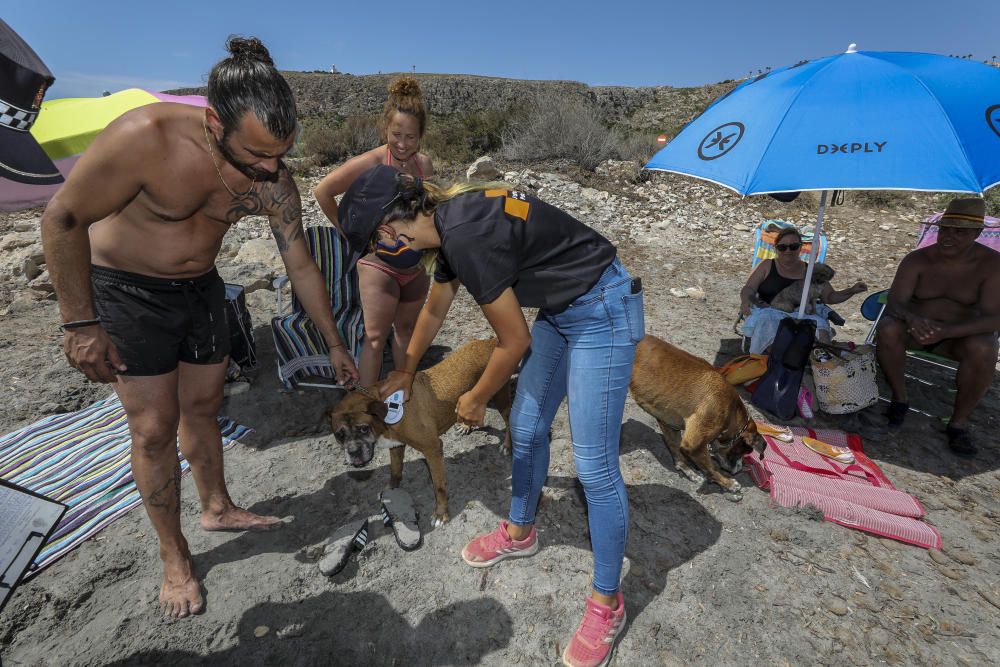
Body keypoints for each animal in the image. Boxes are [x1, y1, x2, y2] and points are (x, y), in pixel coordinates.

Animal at [330, 340, 512, 528]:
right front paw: (391, 490)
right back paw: (465, 425)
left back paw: (507, 445)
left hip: (500, 396)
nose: (353, 453)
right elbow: (395, 470)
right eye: (339, 435)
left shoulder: (433, 449)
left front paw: (441, 514)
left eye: (364, 428)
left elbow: (439, 486)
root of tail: (491, 341)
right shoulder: (395, 445)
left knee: (509, 419)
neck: (384, 409)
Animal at [632, 334, 764, 496]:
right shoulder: (693, 445)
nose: (740, 469)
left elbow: (676, 449)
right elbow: (711, 467)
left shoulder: (669, 425)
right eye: (746, 451)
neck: (732, 411)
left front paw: (688, 470)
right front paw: (728, 483)